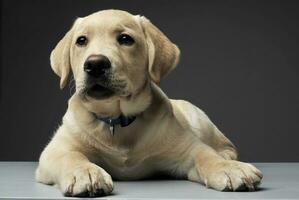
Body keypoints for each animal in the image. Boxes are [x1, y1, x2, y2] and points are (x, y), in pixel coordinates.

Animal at [36, 9, 264, 197]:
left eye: (125, 39)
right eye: (81, 41)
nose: (95, 64)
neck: (116, 120)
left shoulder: (187, 149)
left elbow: (205, 154)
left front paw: (228, 168)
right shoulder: (54, 150)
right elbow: (70, 156)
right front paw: (86, 173)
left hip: (199, 118)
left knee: (223, 145)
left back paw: (228, 157)